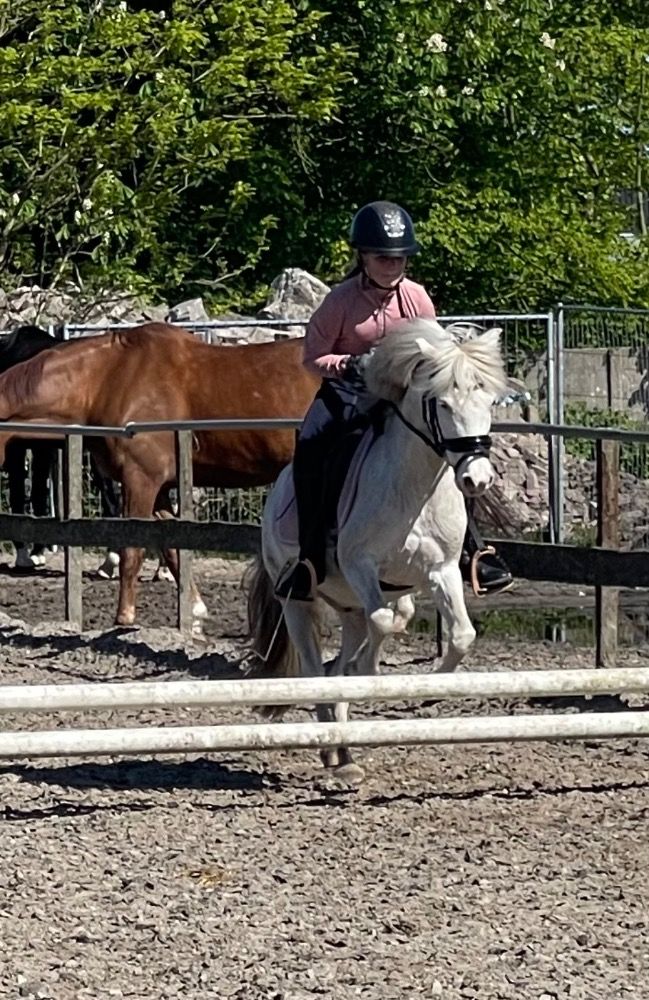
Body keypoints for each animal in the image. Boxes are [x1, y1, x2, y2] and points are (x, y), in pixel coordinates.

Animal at [0, 322, 318, 624]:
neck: (107, 379)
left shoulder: (140, 480)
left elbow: (132, 549)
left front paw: (124, 616)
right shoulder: (160, 488)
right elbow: (172, 546)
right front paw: (195, 608)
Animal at [246, 318, 507, 783]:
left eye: (489, 401)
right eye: (442, 404)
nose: (476, 479)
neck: (414, 488)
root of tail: (275, 493)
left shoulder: (442, 570)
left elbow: (460, 634)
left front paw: (432, 689)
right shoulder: (360, 565)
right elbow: (383, 624)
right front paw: (369, 673)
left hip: (351, 605)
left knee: (349, 651)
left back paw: (344, 751)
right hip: (298, 600)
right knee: (315, 669)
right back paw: (332, 744)